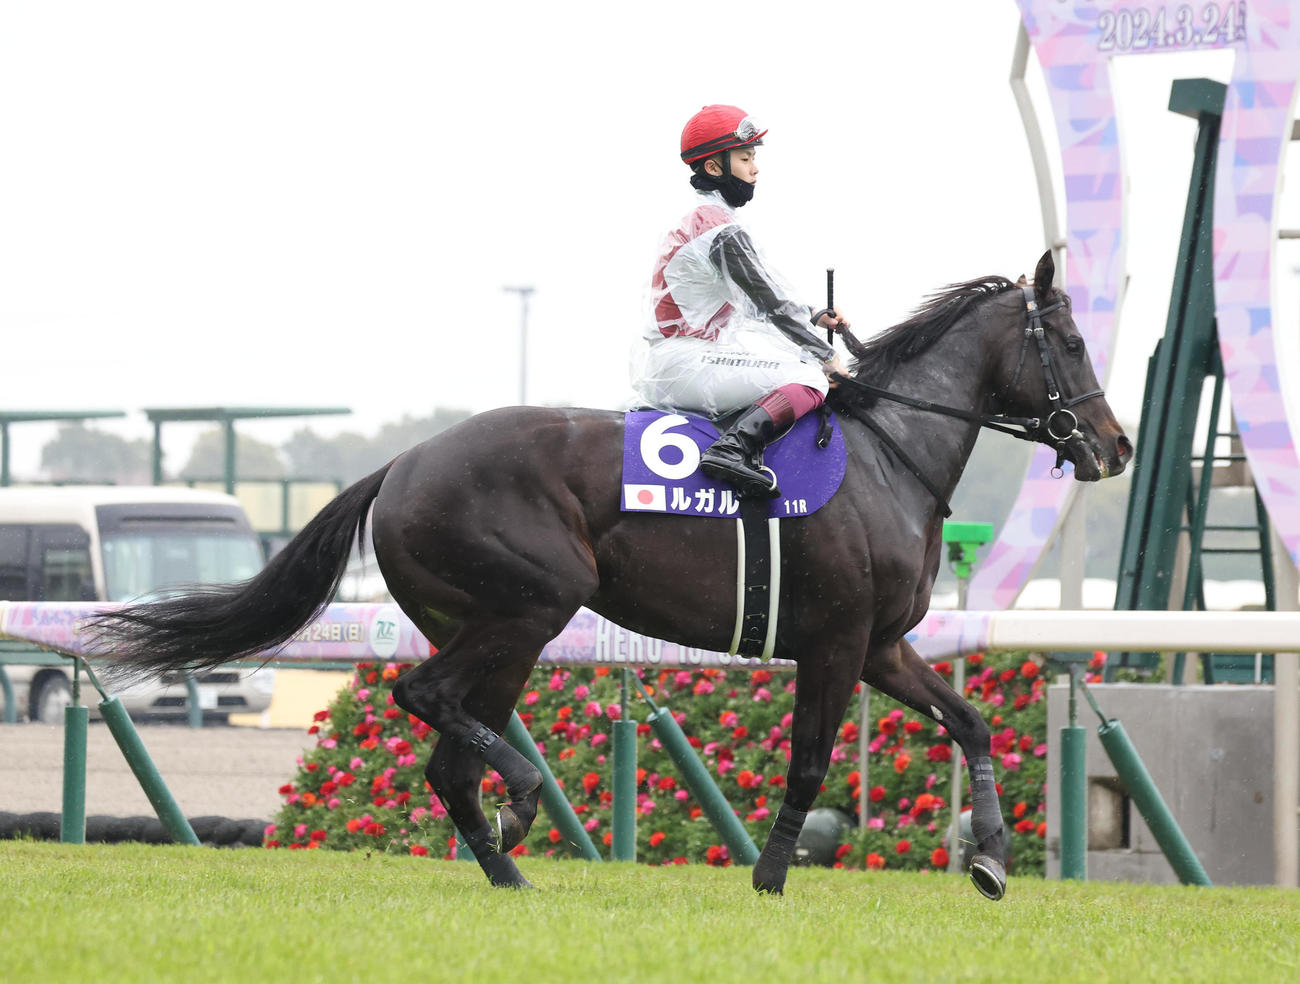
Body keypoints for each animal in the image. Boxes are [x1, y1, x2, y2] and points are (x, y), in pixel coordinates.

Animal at [87, 250, 1131, 900]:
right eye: (1075, 343)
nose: (1115, 446)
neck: (887, 456)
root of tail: (403, 463)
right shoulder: (834, 643)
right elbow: (808, 762)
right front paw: (770, 876)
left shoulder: (881, 645)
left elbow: (972, 722)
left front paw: (991, 861)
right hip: (532, 604)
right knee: (425, 697)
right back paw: (520, 794)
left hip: (489, 625)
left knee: (445, 752)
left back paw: (509, 867)